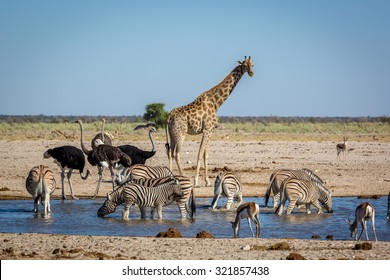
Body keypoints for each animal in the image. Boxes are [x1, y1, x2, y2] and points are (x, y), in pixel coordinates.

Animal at [165, 56, 254, 186]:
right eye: (244, 65)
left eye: (252, 65)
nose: (251, 73)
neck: (216, 103)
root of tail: (169, 117)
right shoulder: (208, 129)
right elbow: (200, 153)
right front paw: (196, 181)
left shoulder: (209, 130)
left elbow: (205, 155)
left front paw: (207, 181)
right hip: (180, 134)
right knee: (176, 153)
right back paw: (183, 177)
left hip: (172, 134)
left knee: (170, 152)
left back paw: (171, 177)